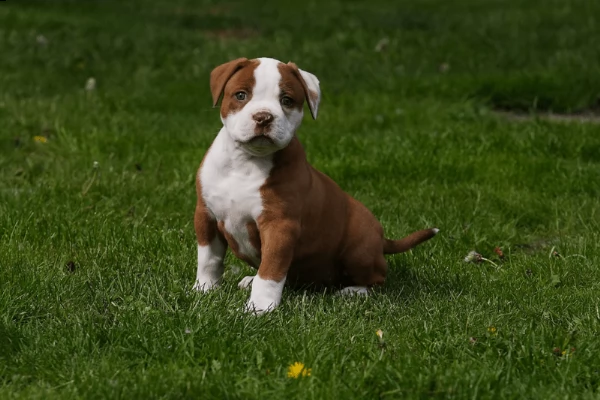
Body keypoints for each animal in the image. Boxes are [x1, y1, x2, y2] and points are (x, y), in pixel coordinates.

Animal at [195, 57, 438, 312]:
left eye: (287, 100)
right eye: (241, 95)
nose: (263, 117)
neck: (246, 161)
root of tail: (382, 239)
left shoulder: (279, 226)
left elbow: (271, 270)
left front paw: (259, 308)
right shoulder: (205, 215)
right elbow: (209, 259)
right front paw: (204, 290)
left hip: (358, 249)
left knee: (377, 279)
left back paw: (353, 292)